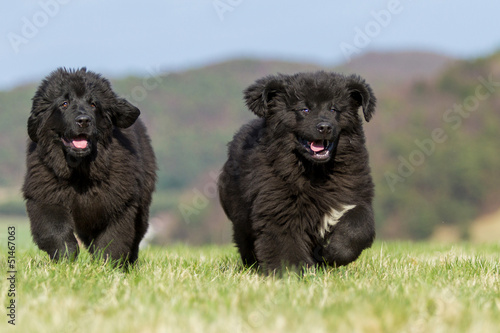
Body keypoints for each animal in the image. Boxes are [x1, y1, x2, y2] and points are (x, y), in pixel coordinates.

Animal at [22, 68, 156, 264]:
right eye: (64, 103)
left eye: (93, 104)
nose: (83, 120)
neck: (80, 172)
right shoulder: (45, 196)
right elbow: (56, 231)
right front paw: (66, 260)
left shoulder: (119, 203)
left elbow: (113, 239)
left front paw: (106, 265)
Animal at [218, 71, 376, 272]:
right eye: (304, 109)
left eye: (334, 109)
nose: (325, 127)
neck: (316, 172)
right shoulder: (278, 207)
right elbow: (285, 244)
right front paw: (291, 272)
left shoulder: (353, 196)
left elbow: (359, 226)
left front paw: (333, 253)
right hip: (241, 219)